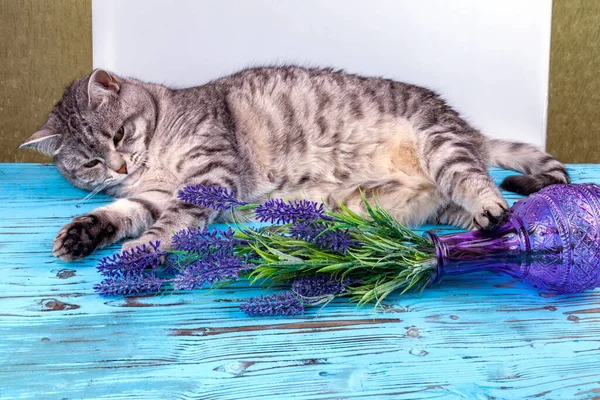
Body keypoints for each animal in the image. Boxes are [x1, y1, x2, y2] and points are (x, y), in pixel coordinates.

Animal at [18, 66, 568, 260]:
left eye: (118, 134)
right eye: (90, 161)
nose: (119, 168)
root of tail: (471, 131)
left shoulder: (210, 174)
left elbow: (172, 220)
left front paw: (145, 247)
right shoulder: (150, 194)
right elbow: (122, 214)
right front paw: (84, 233)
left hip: (442, 144)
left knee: (478, 180)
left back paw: (494, 209)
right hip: (440, 203)